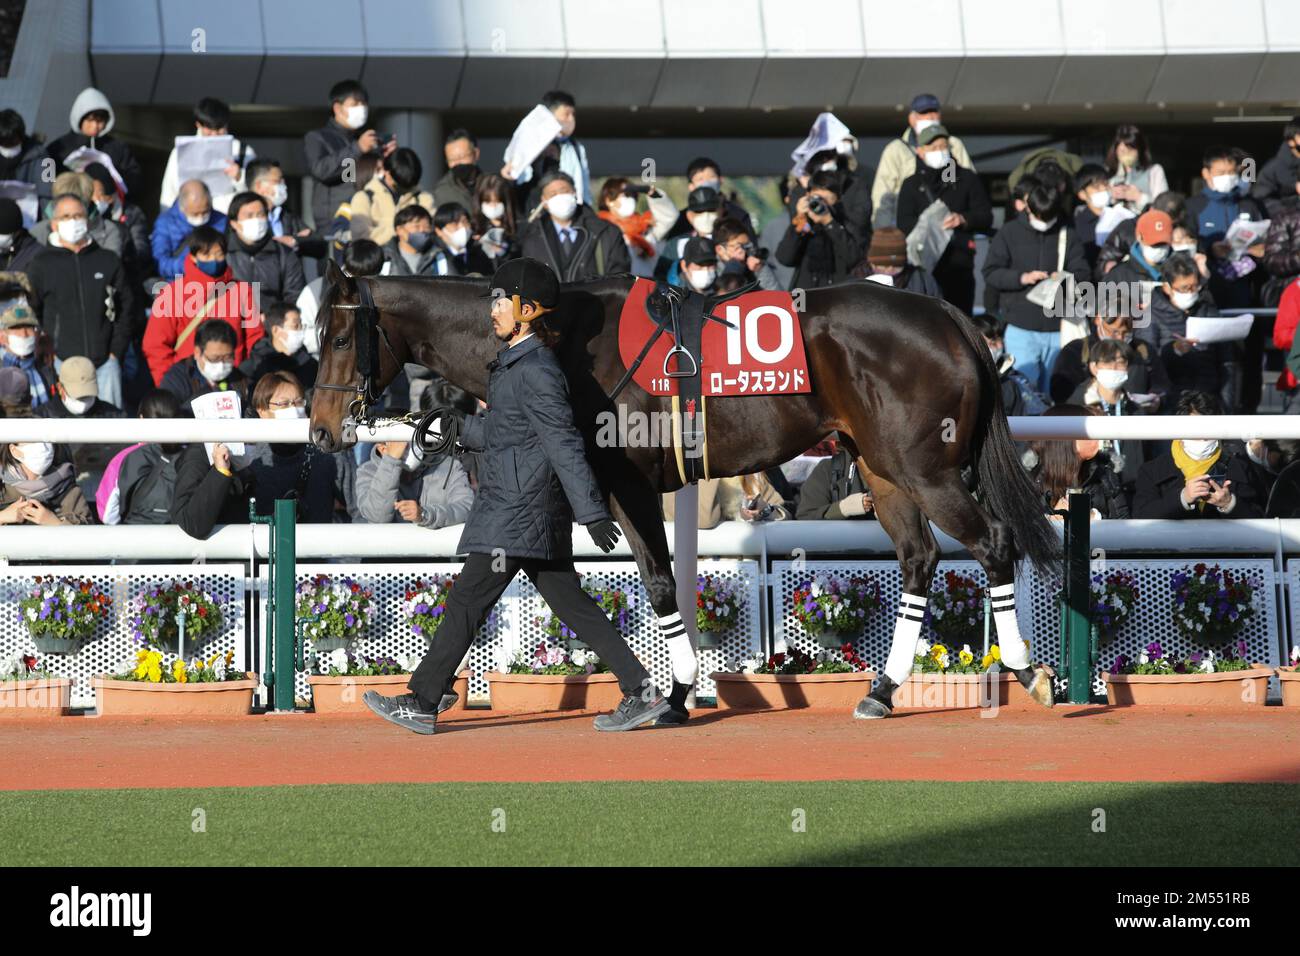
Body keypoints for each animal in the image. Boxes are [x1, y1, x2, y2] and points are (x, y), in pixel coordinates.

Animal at [309, 261, 1060, 717]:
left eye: (341, 336)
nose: (320, 431)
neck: (560, 336)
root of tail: (950, 317)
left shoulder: (625, 482)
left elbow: (659, 581)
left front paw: (670, 693)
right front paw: (672, 690)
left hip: (924, 468)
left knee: (994, 543)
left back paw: (1028, 669)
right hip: (882, 468)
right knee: (919, 559)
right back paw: (880, 689)